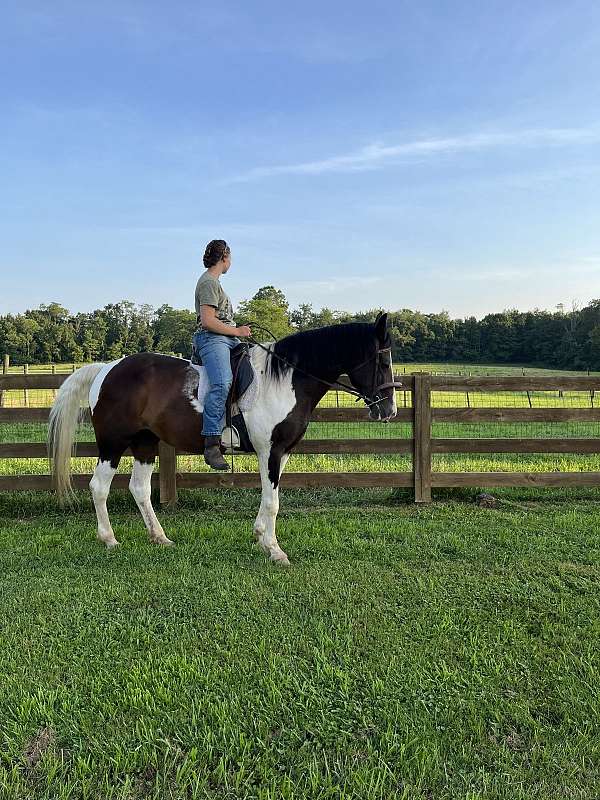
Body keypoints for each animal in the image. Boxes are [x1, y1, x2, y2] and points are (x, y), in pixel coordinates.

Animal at [48, 313, 398, 564]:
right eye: (382, 361)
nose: (389, 410)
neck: (285, 378)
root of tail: (106, 369)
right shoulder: (269, 451)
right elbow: (273, 501)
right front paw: (275, 550)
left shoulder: (281, 453)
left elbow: (269, 498)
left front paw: (261, 537)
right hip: (113, 444)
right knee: (99, 487)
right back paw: (109, 539)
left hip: (145, 444)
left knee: (139, 488)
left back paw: (159, 537)